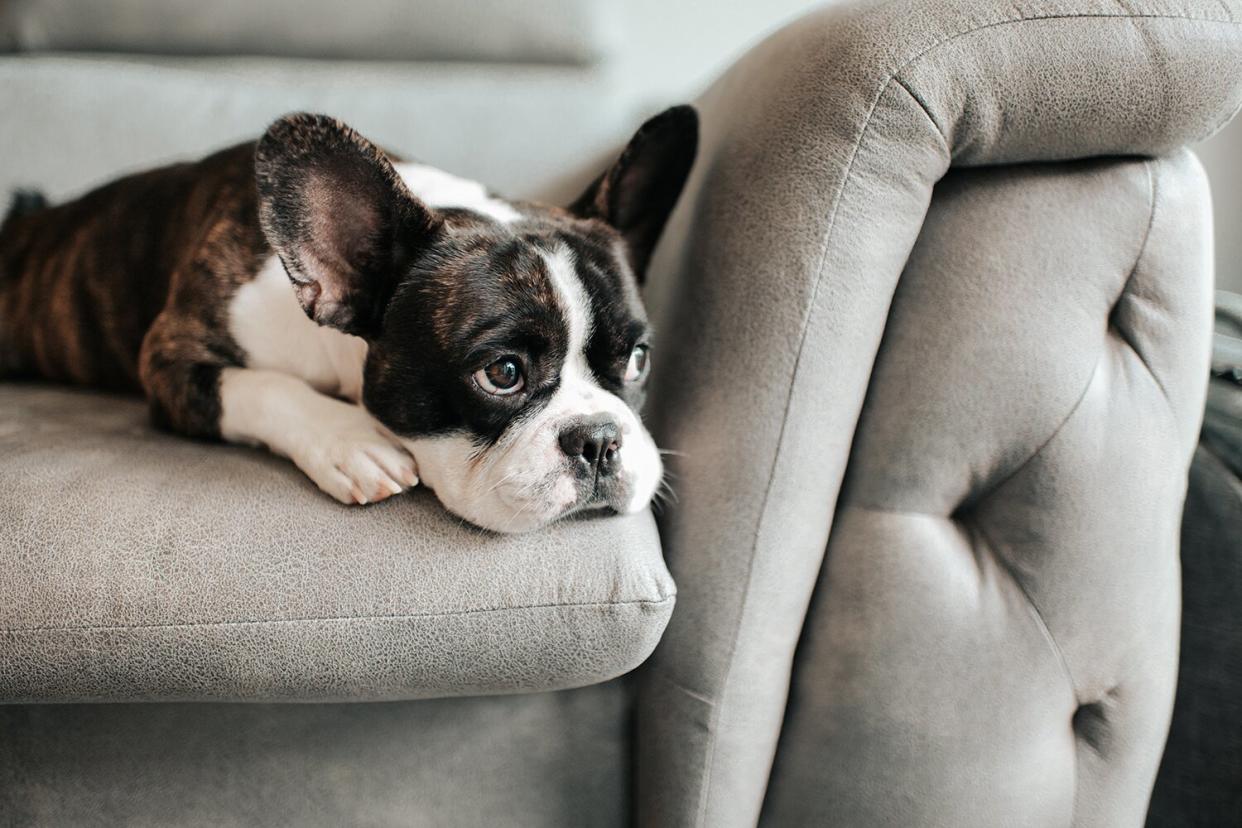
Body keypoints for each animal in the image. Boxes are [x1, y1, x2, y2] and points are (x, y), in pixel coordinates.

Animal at [0, 108, 700, 531]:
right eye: (502, 373)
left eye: (638, 359)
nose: (600, 438)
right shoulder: (172, 356)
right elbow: (263, 386)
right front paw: (350, 440)